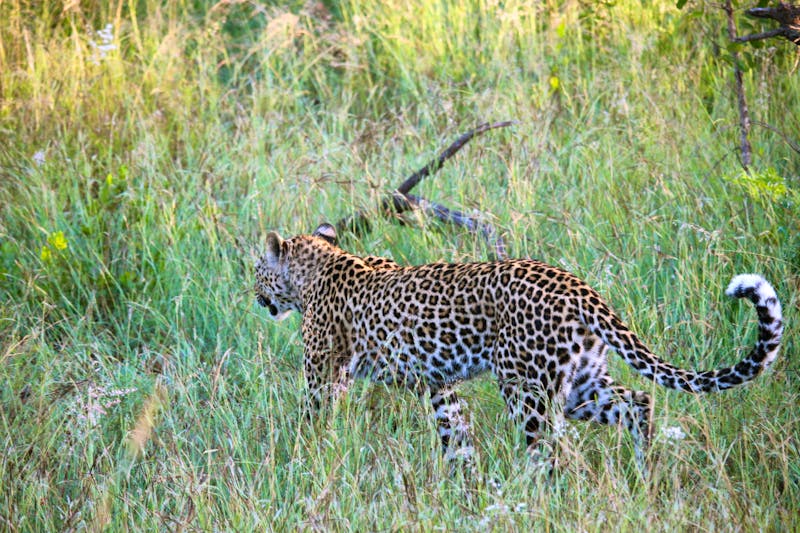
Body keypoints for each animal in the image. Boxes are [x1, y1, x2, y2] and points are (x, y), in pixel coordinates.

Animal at [254, 222, 784, 470]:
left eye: (257, 270)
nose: (254, 296)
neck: (319, 267)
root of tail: (578, 286)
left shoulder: (324, 375)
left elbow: (312, 421)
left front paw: (299, 459)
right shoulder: (440, 384)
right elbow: (455, 433)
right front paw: (462, 482)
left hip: (526, 389)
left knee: (552, 452)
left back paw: (534, 496)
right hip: (580, 385)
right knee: (639, 402)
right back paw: (644, 472)